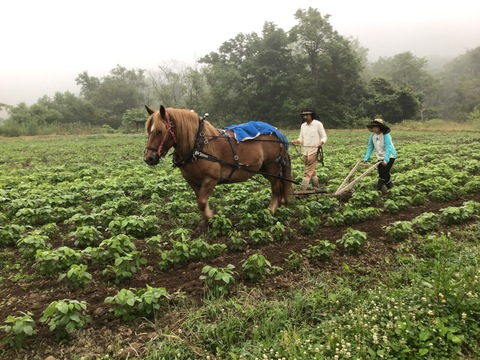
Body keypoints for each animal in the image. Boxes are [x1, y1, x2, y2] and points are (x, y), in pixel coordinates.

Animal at [142, 105, 292, 226]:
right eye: (148, 131)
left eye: (160, 131)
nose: (149, 158)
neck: (198, 145)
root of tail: (277, 131)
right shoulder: (192, 181)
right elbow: (200, 201)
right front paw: (204, 220)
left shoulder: (211, 179)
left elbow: (202, 201)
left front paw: (210, 217)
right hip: (265, 169)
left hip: (272, 166)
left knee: (276, 187)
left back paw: (271, 211)